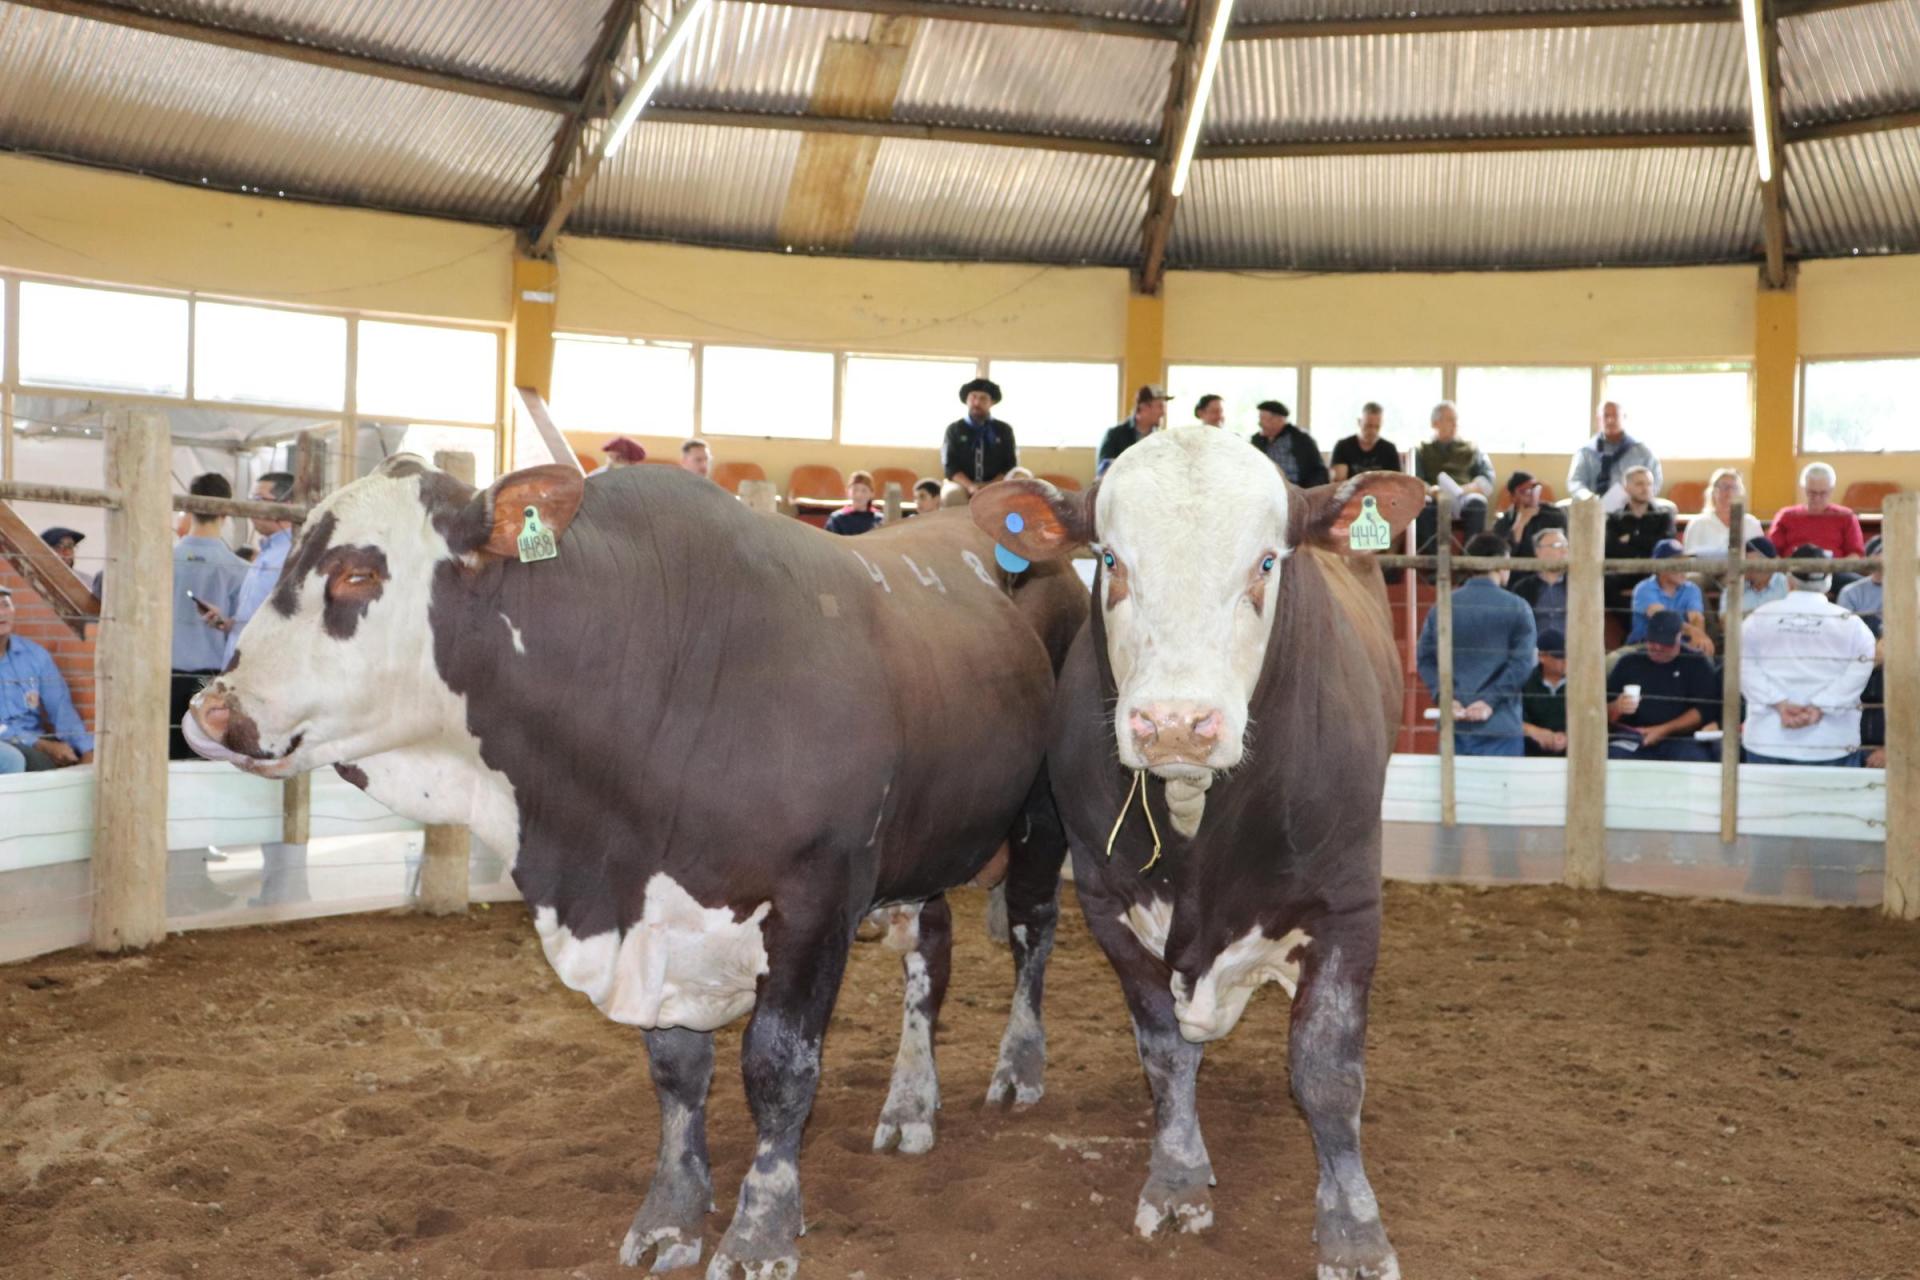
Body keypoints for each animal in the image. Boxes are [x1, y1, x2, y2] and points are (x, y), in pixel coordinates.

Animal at [184, 456, 1083, 1278]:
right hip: (925, 848)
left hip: (1042, 818)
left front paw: (759, 1231)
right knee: (931, 955)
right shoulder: (659, 919)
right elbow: (678, 1072)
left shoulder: (816, 895)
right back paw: (910, 1103)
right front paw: (672, 1215)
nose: (209, 713)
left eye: (359, 572)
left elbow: (781, 1067)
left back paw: (1017, 1068)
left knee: (1031, 930)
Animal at [971, 426, 1424, 1280]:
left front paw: (1354, 1229)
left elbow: (1327, 1070)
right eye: (1111, 559)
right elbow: (1163, 1051)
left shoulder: (1350, 902)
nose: (1176, 723)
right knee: (1029, 926)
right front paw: (1178, 1178)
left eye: (1268, 562)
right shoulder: (1107, 899)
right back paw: (1020, 1064)